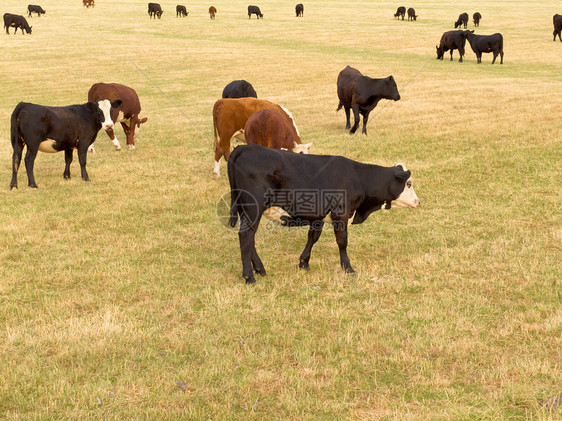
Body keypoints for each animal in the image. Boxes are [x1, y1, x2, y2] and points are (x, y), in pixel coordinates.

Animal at [225, 144, 418, 282]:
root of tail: (244, 147)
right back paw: (249, 276)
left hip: (244, 209)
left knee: (249, 239)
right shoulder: (341, 214)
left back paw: (260, 269)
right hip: (253, 208)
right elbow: (342, 242)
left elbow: (313, 237)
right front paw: (348, 268)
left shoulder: (318, 217)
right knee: (245, 236)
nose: (418, 201)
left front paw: (304, 262)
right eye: (408, 183)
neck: (358, 177)